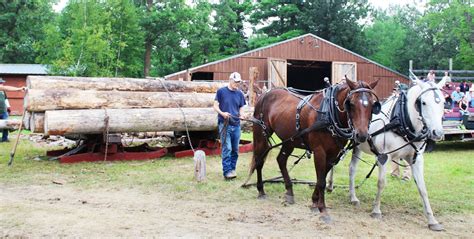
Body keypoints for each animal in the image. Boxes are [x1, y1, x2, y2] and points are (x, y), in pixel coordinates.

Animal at [246, 78, 380, 222]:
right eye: (351, 104)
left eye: (373, 105)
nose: (362, 135)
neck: (329, 114)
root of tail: (264, 94)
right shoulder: (319, 151)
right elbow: (321, 182)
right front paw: (323, 210)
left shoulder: (333, 154)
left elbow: (321, 177)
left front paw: (314, 203)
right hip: (261, 135)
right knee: (259, 161)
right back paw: (261, 190)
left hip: (290, 140)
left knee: (281, 160)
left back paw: (289, 192)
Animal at [348, 79, 444, 231]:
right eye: (423, 102)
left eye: (443, 102)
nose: (437, 133)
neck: (402, 122)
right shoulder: (383, 156)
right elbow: (381, 183)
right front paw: (376, 211)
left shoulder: (416, 159)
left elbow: (422, 188)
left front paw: (432, 220)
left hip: (357, 145)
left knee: (352, 169)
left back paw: (352, 197)